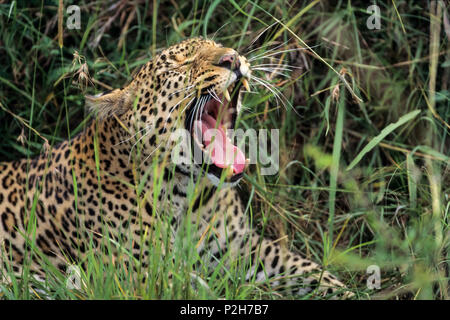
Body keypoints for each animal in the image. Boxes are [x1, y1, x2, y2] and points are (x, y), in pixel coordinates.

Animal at [0, 38, 352, 298]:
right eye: (181, 64)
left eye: (219, 46)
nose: (233, 59)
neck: (189, 193)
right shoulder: (139, 275)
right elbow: (197, 289)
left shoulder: (242, 245)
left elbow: (307, 270)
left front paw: (346, 290)